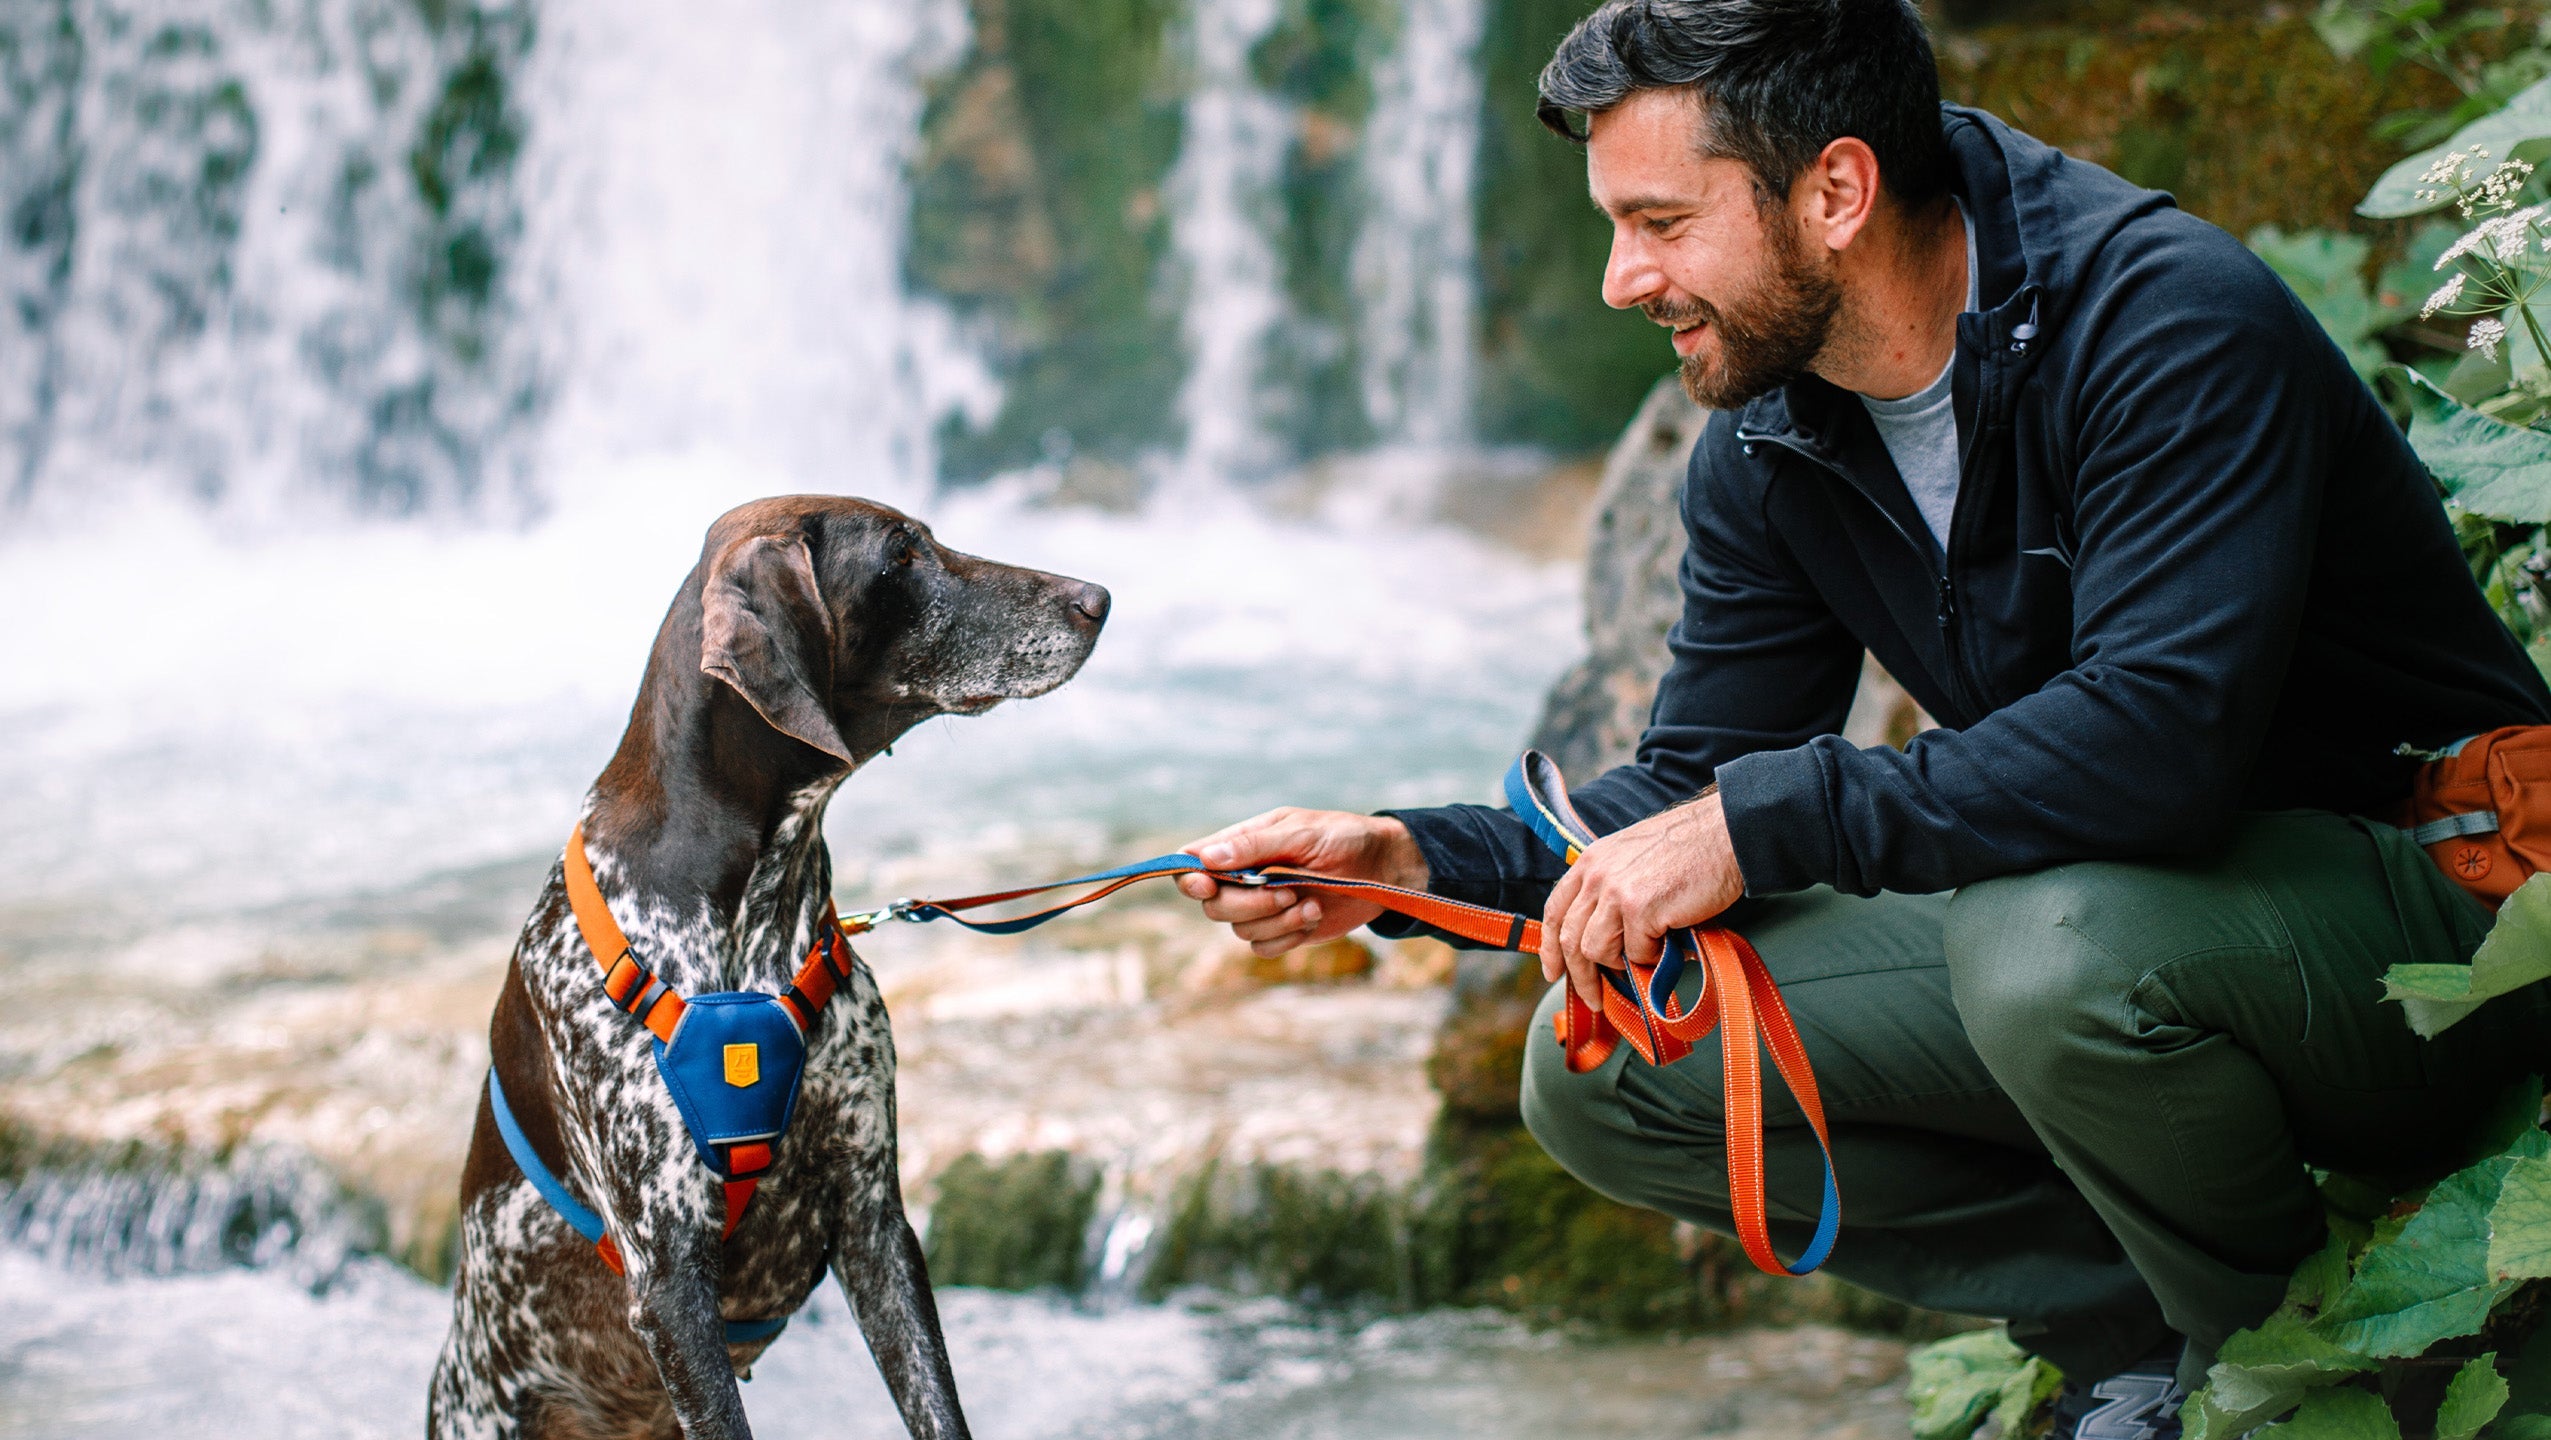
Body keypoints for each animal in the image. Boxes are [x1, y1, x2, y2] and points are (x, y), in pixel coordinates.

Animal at [428, 497, 1107, 1440]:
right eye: (902, 552)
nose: (1099, 599)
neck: (754, 895)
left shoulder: (874, 1221)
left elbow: (936, 1405)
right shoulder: (670, 1275)